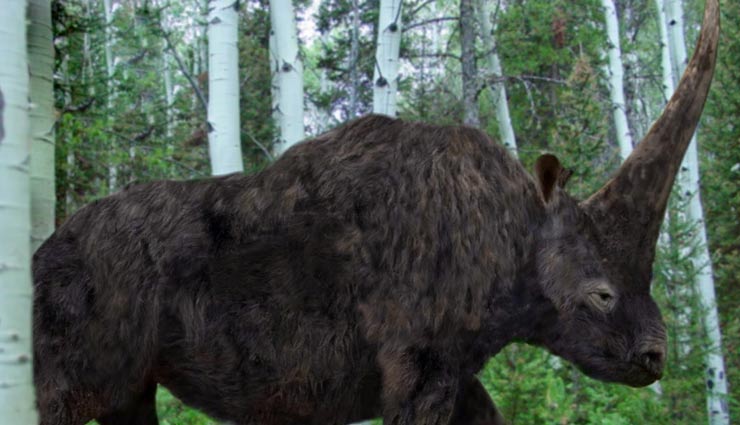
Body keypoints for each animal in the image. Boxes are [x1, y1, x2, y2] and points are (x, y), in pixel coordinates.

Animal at [32, 0, 719, 423]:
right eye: (601, 295)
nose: (655, 360)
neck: (519, 231)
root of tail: (41, 250)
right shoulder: (420, 356)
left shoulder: (452, 364)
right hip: (76, 298)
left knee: (127, 400)